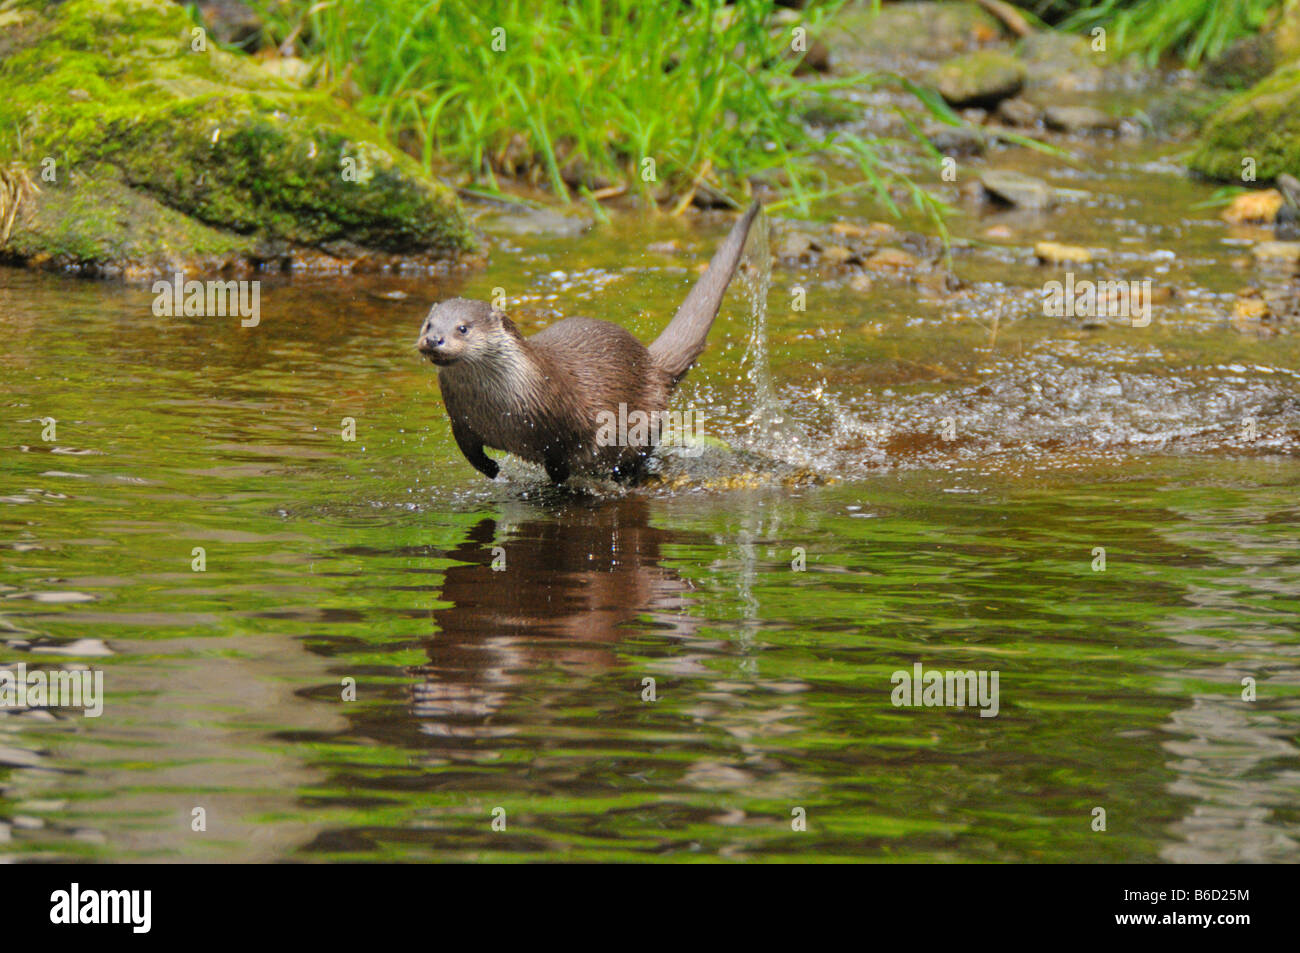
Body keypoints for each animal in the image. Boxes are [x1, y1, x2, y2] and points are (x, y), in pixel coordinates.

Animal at [416, 200, 759, 483]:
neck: (497, 409)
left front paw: (559, 479)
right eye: (428, 324)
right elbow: (470, 452)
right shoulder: (460, 420)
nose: (433, 340)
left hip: (647, 419)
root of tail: (653, 363)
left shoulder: (561, 418)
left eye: (462, 328)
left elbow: (564, 453)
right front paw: (493, 470)